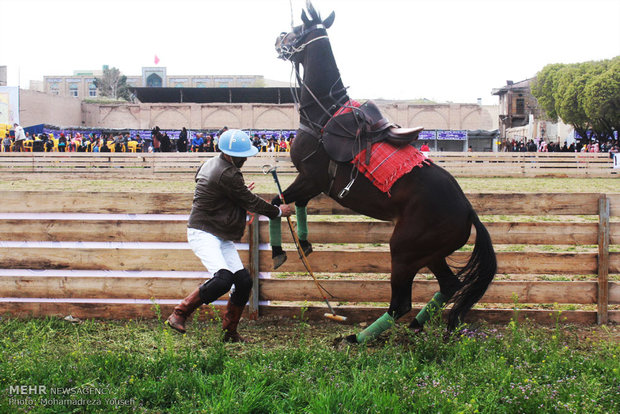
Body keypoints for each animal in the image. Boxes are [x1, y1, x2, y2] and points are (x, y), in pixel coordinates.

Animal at [274, 2, 496, 342]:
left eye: (297, 29)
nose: (278, 39)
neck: (325, 114)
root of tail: (468, 211)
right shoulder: (313, 183)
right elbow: (294, 203)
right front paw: (305, 242)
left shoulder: (310, 177)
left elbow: (276, 203)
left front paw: (279, 251)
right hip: (429, 254)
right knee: (449, 286)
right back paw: (417, 324)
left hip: (403, 251)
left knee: (400, 304)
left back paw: (357, 338)